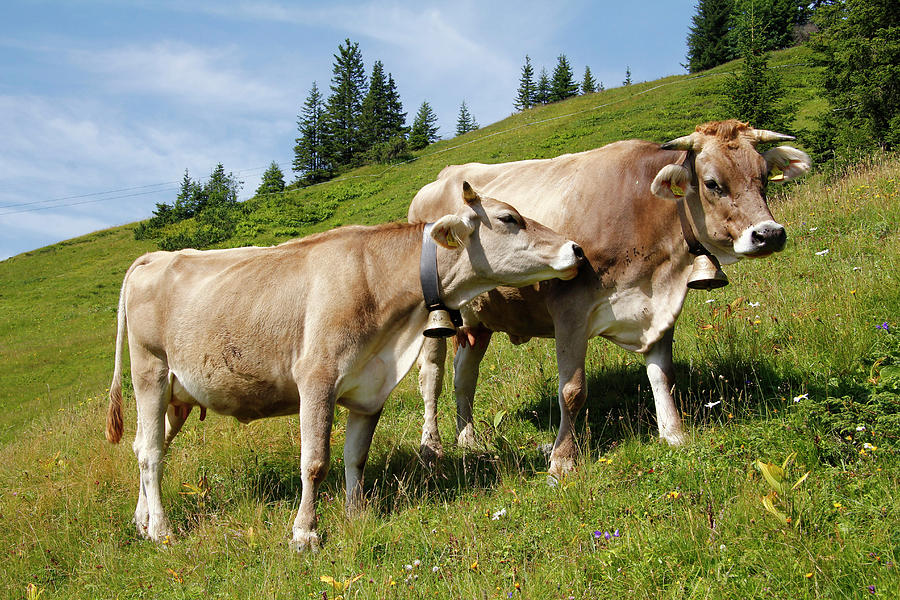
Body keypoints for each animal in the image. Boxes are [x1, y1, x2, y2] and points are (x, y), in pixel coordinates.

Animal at [107, 184, 584, 552]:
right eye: (508, 218)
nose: (576, 247)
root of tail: (155, 256)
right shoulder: (316, 379)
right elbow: (315, 462)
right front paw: (305, 533)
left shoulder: (370, 388)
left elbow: (356, 456)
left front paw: (357, 515)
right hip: (149, 373)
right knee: (151, 453)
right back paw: (162, 531)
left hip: (178, 395)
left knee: (144, 446)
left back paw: (142, 521)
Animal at [404, 119, 812, 476]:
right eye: (713, 183)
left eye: (764, 176)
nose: (769, 234)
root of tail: (440, 178)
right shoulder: (570, 309)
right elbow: (572, 391)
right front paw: (562, 462)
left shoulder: (659, 307)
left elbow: (663, 374)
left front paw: (674, 435)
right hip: (435, 315)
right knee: (432, 376)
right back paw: (432, 447)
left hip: (479, 320)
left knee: (465, 375)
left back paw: (468, 441)